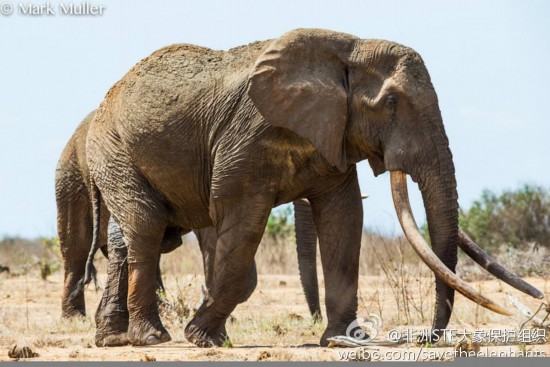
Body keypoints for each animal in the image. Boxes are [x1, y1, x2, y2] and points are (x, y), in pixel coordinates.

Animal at [84, 29, 544, 348]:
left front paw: (341, 340)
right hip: (114, 148)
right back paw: (150, 339)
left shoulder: (333, 134)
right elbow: (244, 227)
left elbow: (344, 220)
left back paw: (113, 339)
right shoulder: (246, 139)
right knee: (147, 230)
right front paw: (203, 338)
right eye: (391, 103)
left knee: (140, 237)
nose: (428, 338)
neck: (349, 49)